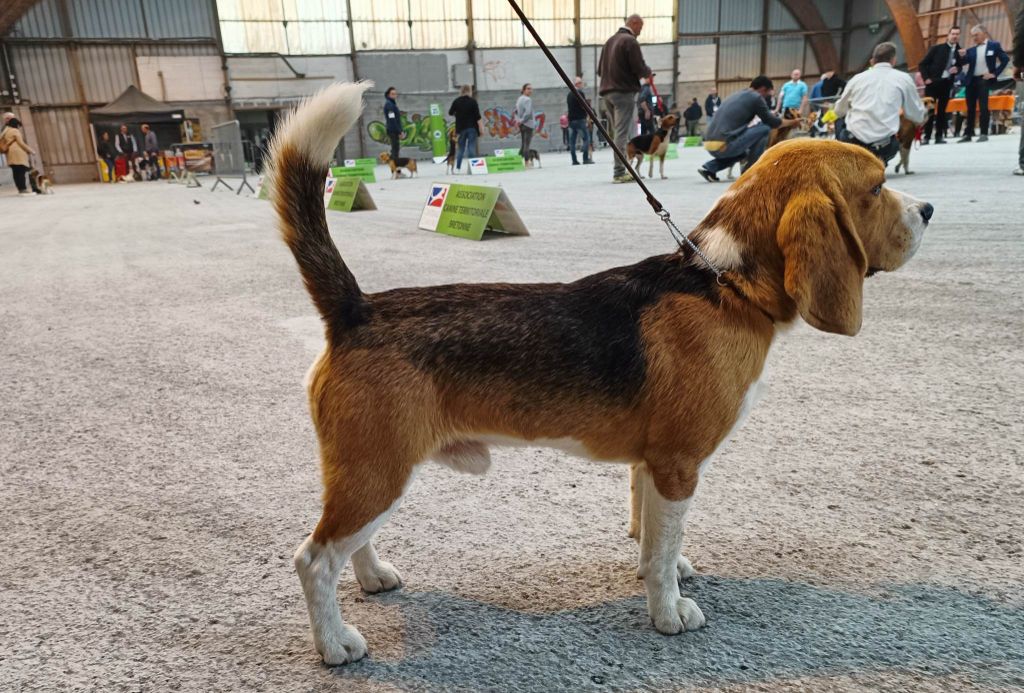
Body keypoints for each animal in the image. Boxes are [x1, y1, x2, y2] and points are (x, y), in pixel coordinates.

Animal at [266, 83, 937, 667]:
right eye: (877, 187)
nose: (929, 209)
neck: (725, 283)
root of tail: (355, 309)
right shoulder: (679, 464)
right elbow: (661, 550)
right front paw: (669, 611)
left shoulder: (652, 465)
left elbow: (654, 535)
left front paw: (667, 570)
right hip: (378, 472)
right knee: (313, 559)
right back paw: (335, 644)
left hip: (369, 473)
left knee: (347, 545)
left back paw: (373, 577)